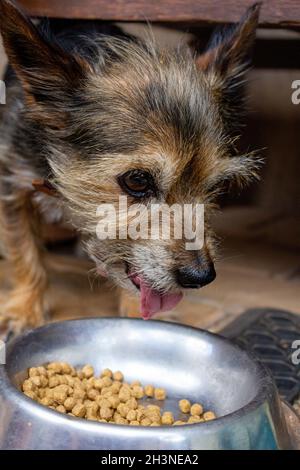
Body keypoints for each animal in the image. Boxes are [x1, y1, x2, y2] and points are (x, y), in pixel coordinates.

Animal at [0, 0, 260, 338]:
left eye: (214, 186)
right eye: (137, 181)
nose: (201, 276)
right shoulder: (13, 184)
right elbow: (24, 251)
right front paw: (25, 308)